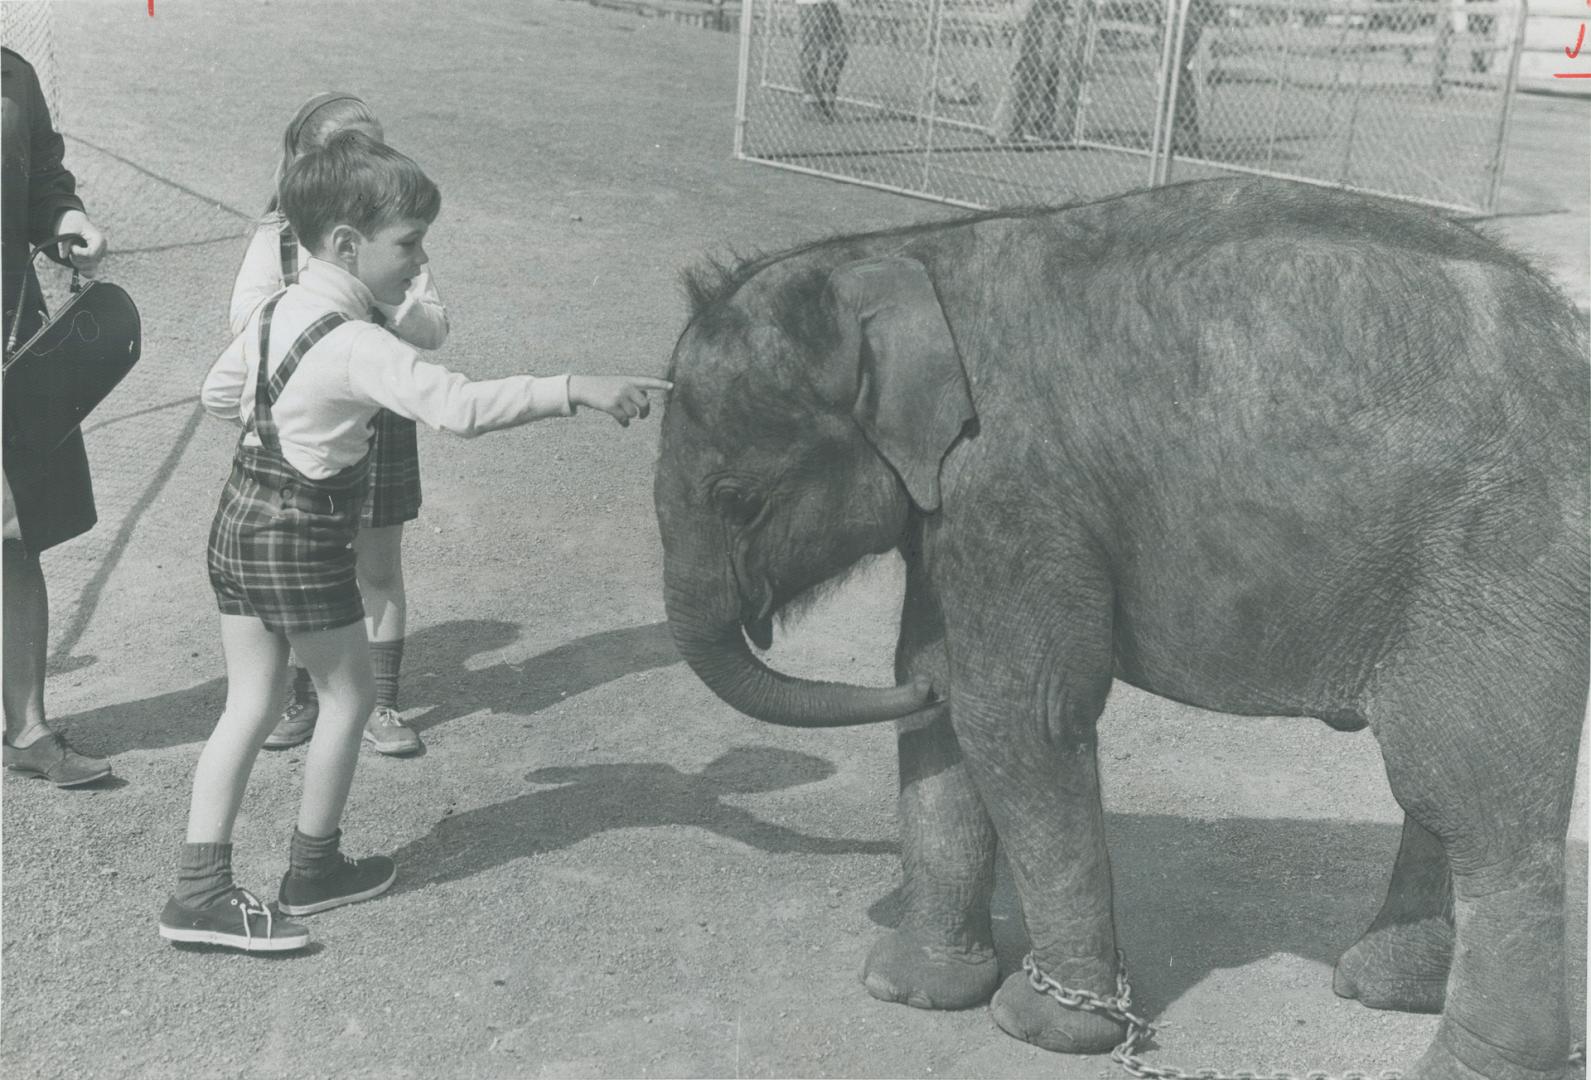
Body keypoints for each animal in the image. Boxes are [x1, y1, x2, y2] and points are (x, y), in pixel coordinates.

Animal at [652, 179, 1584, 1080]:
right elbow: (946, 699)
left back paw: (1464, 1064)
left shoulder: (1014, 485)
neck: (905, 252)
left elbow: (1016, 718)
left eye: (738, 500)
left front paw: (1044, 1029)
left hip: (1503, 557)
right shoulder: (955, 508)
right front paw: (910, 990)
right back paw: (1381, 989)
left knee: (1463, 792)